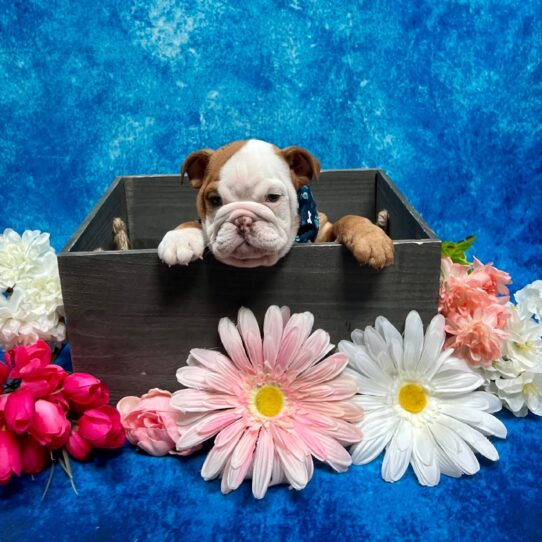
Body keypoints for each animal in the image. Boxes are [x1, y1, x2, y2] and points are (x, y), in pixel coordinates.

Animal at [157, 139, 396, 268]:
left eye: (273, 197)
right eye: (215, 200)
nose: (243, 220)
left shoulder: (324, 232)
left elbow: (348, 219)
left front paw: (371, 238)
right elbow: (193, 222)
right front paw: (180, 238)